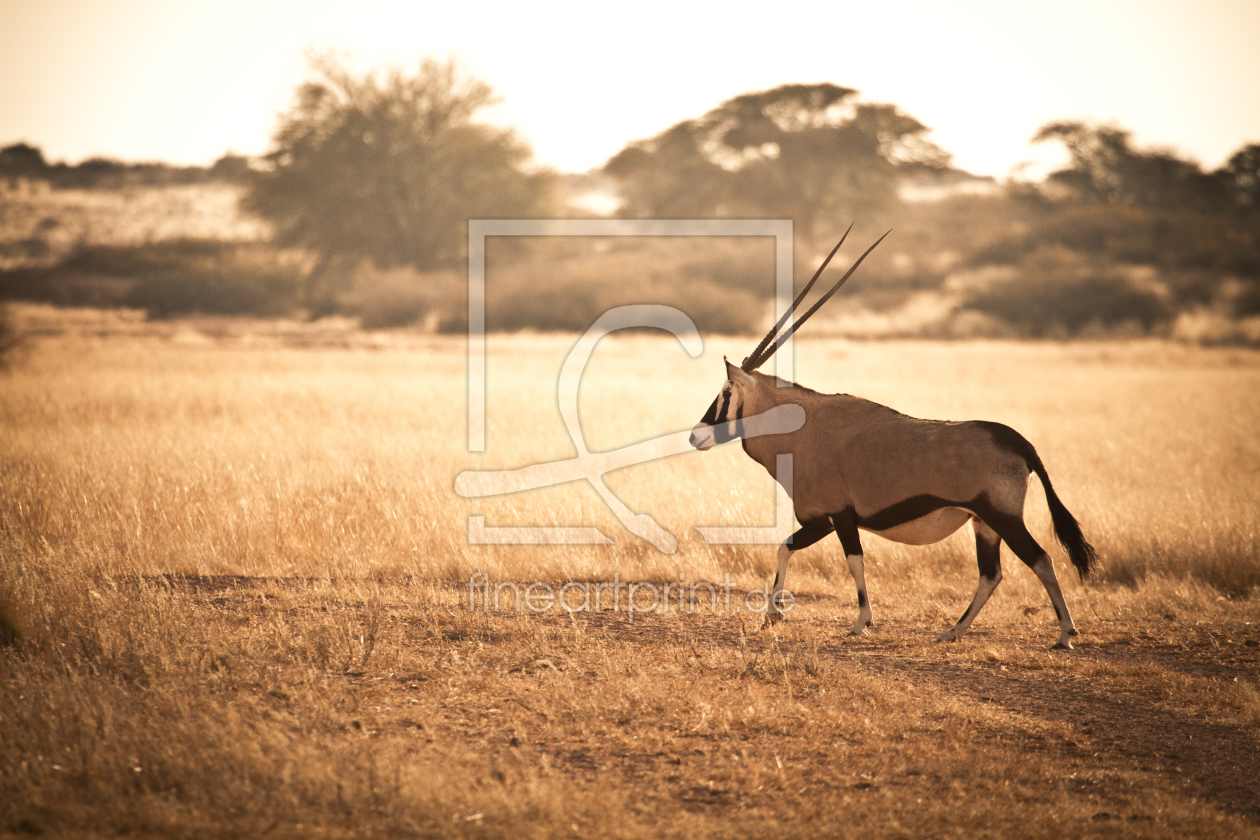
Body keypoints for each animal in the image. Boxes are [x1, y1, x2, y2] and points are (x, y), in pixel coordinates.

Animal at [690, 230, 1093, 649]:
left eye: (726, 391)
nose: (696, 434)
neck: (802, 431)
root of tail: (1020, 444)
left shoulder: (837, 516)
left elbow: (853, 561)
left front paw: (860, 621)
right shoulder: (823, 520)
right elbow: (786, 547)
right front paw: (772, 614)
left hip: (1003, 517)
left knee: (1040, 559)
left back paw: (1065, 633)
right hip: (983, 523)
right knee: (991, 574)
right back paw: (953, 631)